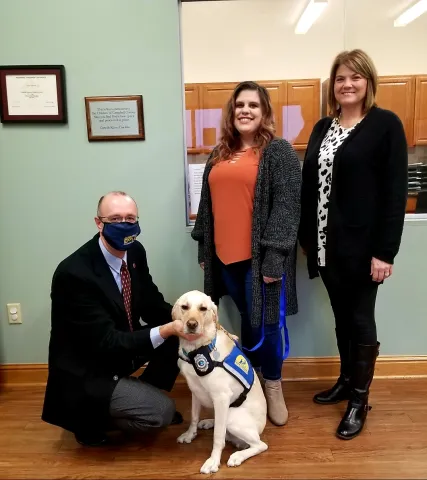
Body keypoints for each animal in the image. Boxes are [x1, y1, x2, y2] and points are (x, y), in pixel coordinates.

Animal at [171, 290, 268, 474]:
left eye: (203, 308)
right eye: (184, 307)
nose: (192, 324)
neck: (197, 349)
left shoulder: (221, 397)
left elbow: (218, 437)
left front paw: (213, 461)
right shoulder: (195, 391)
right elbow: (194, 416)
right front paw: (190, 434)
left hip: (231, 416)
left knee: (260, 445)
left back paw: (238, 456)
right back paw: (209, 422)